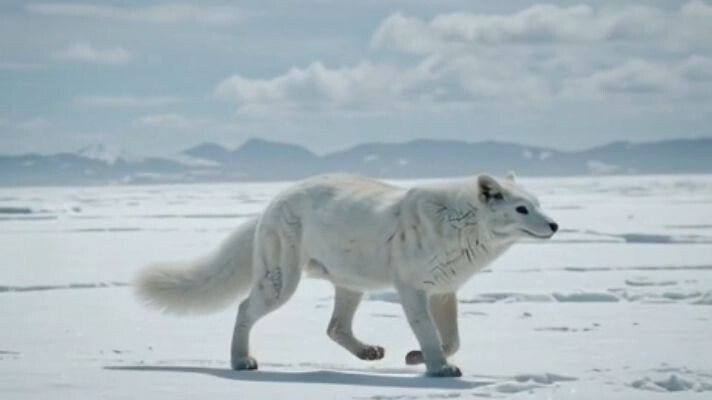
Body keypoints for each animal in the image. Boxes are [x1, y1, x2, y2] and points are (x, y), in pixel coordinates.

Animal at [135, 173, 558, 377]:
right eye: (521, 209)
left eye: (538, 204)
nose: (554, 225)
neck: (461, 226)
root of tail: (273, 201)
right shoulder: (411, 289)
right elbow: (432, 335)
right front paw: (438, 369)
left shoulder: (443, 291)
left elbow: (451, 339)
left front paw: (416, 358)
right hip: (280, 285)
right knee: (243, 309)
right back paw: (241, 361)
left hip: (352, 286)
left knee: (335, 328)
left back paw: (368, 352)